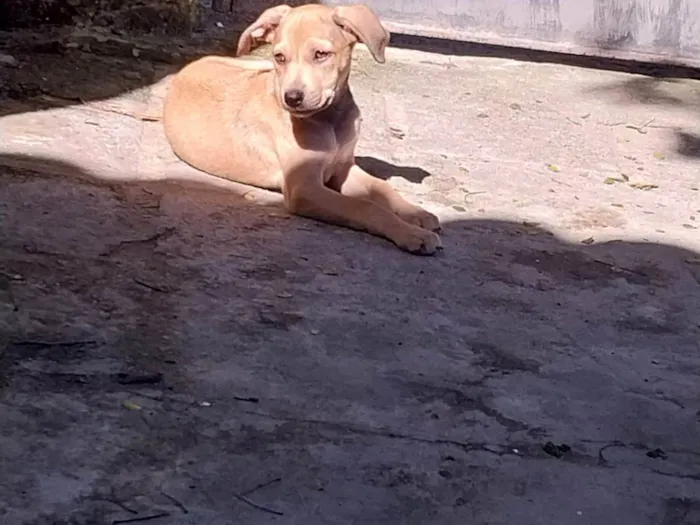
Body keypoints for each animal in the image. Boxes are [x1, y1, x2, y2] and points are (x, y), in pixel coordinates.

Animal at [161, 3, 440, 255]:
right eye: (280, 57)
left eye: (321, 54)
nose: (292, 98)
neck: (330, 120)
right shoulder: (304, 188)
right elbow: (364, 207)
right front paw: (411, 234)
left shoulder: (343, 167)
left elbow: (383, 188)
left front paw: (416, 213)